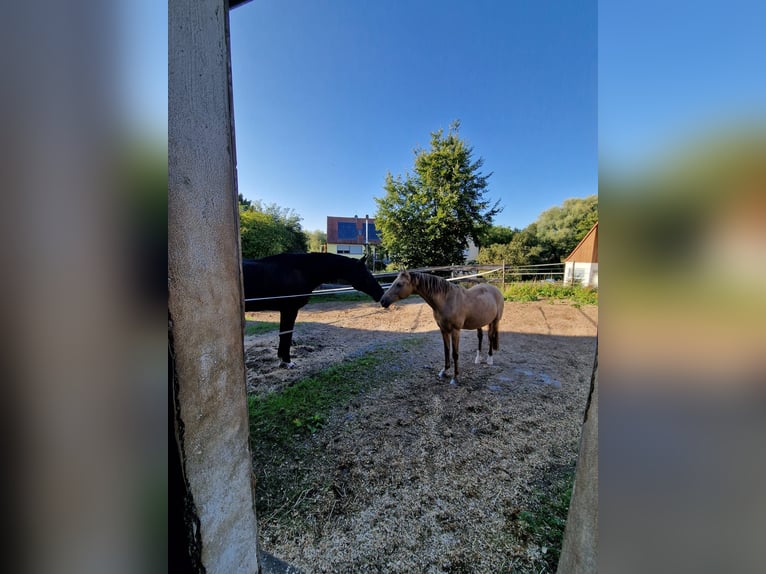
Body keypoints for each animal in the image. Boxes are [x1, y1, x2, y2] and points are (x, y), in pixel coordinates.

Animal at [243, 255, 384, 368]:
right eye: (365, 273)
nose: (381, 293)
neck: (300, 271)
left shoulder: (285, 311)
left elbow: (284, 334)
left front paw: (283, 360)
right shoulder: (289, 310)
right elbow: (286, 335)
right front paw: (287, 362)